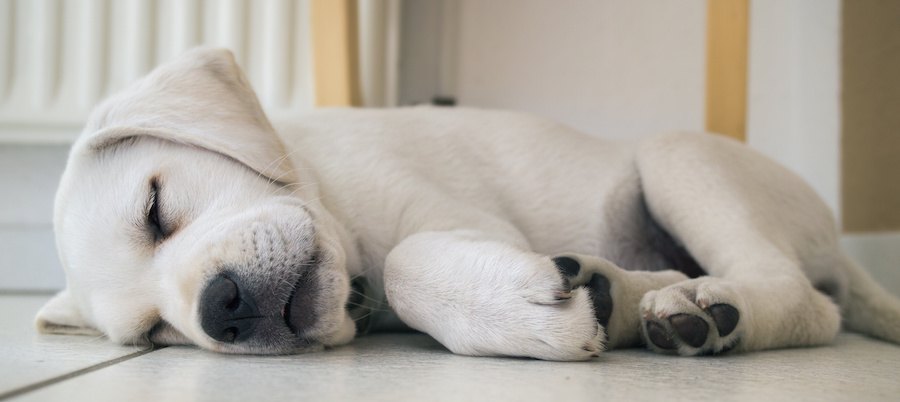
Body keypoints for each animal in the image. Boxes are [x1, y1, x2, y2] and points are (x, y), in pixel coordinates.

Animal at [35, 48, 900, 362]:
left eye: (156, 207)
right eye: (155, 333)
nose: (224, 308)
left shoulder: (451, 217)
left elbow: (411, 262)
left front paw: (513, 310)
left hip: (678, 157)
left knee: (805, 302)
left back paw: (708, 310)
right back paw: (635, 298)